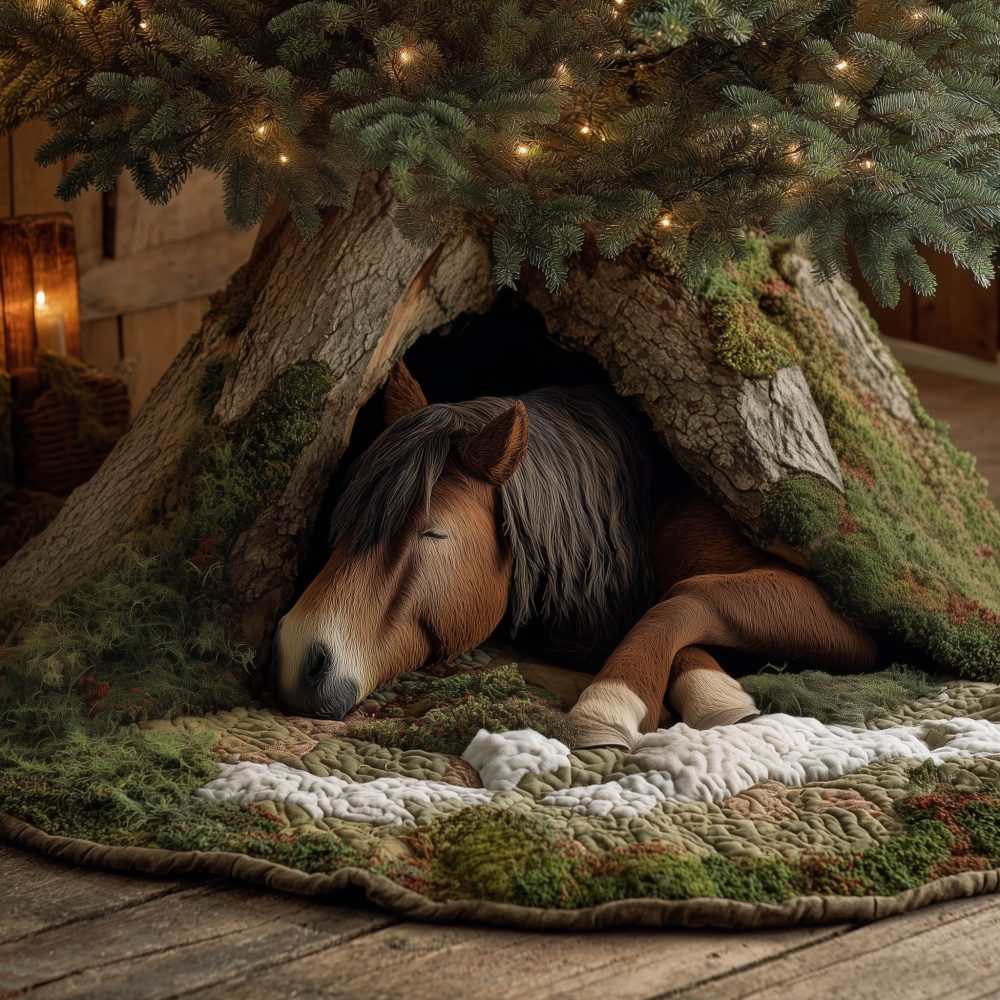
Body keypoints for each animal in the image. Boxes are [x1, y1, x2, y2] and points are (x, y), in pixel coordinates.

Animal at [272, 362, 877, 749]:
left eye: (433, 535)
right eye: (345, 521)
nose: (299, 658)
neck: (649, 501)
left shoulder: (851, 622)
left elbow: (685, 594)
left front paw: (609, 701)